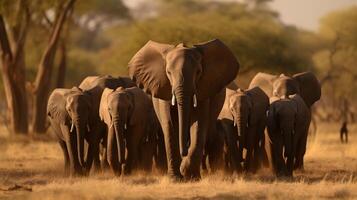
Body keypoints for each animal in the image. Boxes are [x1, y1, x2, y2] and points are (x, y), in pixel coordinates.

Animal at [126, 38, 238, 180]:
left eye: (198, 72)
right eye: (168, 72)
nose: (183, 152)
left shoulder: (203, 89)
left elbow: (199, 123)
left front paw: (189, 174)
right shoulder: (165, 88)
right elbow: (170, 124)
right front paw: (175, 178)